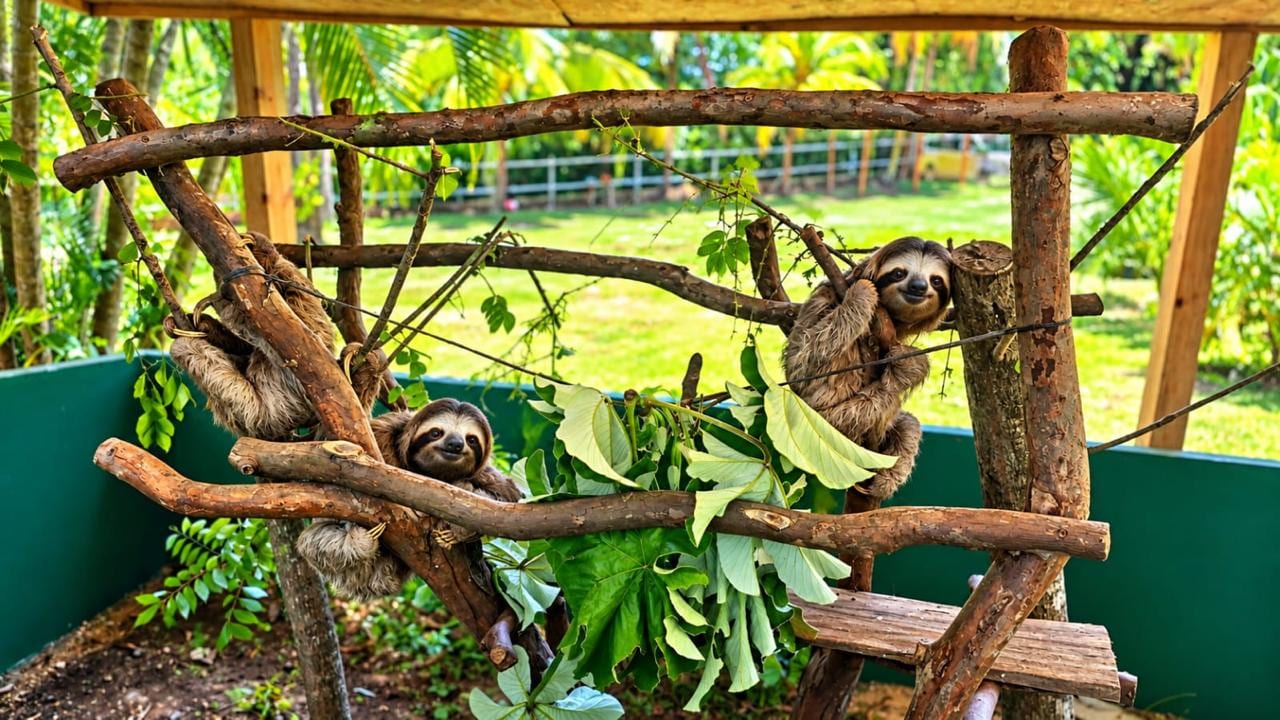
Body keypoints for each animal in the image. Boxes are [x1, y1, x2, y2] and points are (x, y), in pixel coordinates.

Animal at [296, 398, 522, 599]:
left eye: (471, 439)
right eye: (436, 432)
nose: (455, 444)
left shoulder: (485, 474)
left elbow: (505, 498)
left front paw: (457, 529)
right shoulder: (382, 431)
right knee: (317, 542)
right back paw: (361, 540)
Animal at [783, 236, 952, 500]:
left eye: (936, 280)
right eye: (898, 273)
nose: (918, 286)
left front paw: (907, 361)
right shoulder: (823, 300)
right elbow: (803, 362)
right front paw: (862, 293)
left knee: (908, 423)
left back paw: (885, 478)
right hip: (824, 426)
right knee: (884, 401)